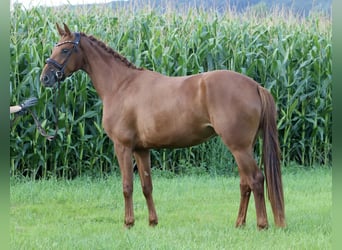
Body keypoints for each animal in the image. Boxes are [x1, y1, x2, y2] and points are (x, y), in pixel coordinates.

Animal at [40, 23, 286, 229]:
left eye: (65, 50)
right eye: (54, 48)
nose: (45, 78)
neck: (121, 85)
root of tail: (255, 86)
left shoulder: (123, 146)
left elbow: (127, 186)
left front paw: (128, 223)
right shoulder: (142, 149)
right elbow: (146, 186)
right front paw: (152, 222)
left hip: (238, 147)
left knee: (256, 180)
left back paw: (262, 224)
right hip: (243, 147)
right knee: (245, 184)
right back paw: (239, 224)